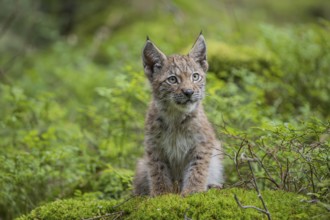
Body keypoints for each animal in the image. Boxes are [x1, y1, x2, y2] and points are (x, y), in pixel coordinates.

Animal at [133, 34, 223, 196]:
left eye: (195, 77)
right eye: (172, 79)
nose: (189, 92)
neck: (176, 115)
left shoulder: (203, 142)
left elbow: (198, 169)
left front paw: (193, 191)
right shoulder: (153, 146)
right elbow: (158, 171)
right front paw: (161, 194)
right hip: (141, 165)